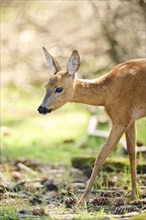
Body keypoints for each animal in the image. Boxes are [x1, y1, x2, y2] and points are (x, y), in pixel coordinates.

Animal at [38, 46, 146, 205]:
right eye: (46, 86)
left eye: (59, 88)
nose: (41, 108)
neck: (107, 93)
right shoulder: (130, 118)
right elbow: (132, 152)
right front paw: (134, 196)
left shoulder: (120, 118)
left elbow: (101, 156)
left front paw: (82, 200)